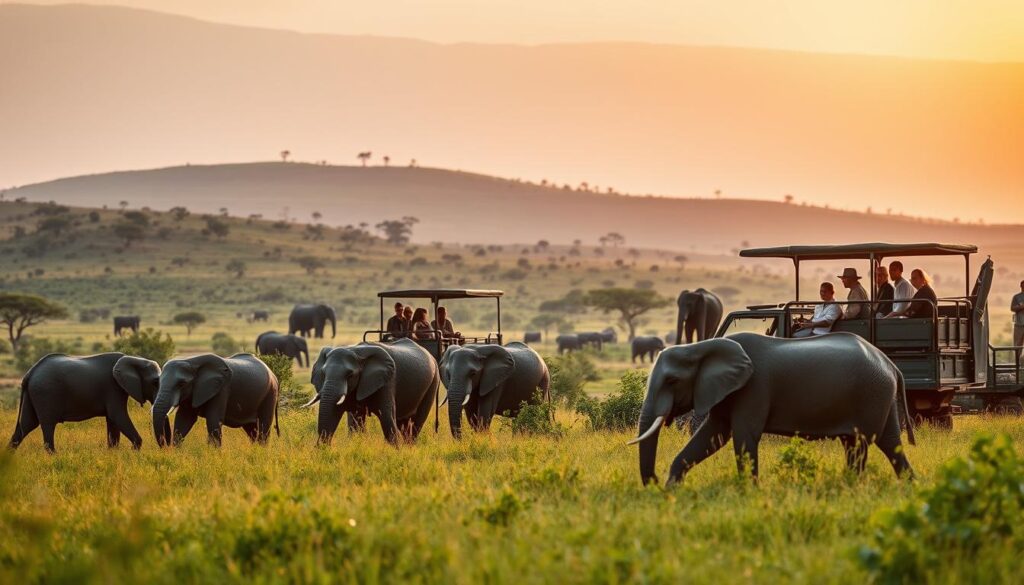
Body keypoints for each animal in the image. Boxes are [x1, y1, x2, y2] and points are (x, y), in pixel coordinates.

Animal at [9, 353, 161, 452]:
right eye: (155, 383)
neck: (134, 359)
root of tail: (30, 373)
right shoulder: (113, 388)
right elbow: (117, 416)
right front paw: (135, 449)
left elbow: (113, 421)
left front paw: (113, 452)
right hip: (45, 393)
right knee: (47, 425)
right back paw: (54, 455)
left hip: (34, 394)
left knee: (26, 425)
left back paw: (9, 457)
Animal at [306, 338, 439, 445]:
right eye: (323, 373)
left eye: (350, 375)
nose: (317, 447)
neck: (356, 351)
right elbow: (342, 416)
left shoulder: (387, 381)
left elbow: (386, 417)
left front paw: (396, 452)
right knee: (403, 424)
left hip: (433, 382)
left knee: (416, 423)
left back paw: (410, 447)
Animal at [631, 333, 916, 486]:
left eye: (672, 381)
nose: (654, 483)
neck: (702, 346)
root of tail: (891, 364)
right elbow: (713, 436)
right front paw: (673, 489)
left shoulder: (754, 388)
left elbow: (743, 437)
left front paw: (749, 493)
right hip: (879, 394)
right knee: (887, 443)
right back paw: (906, 487)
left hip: (871, 393)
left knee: (863, 444)